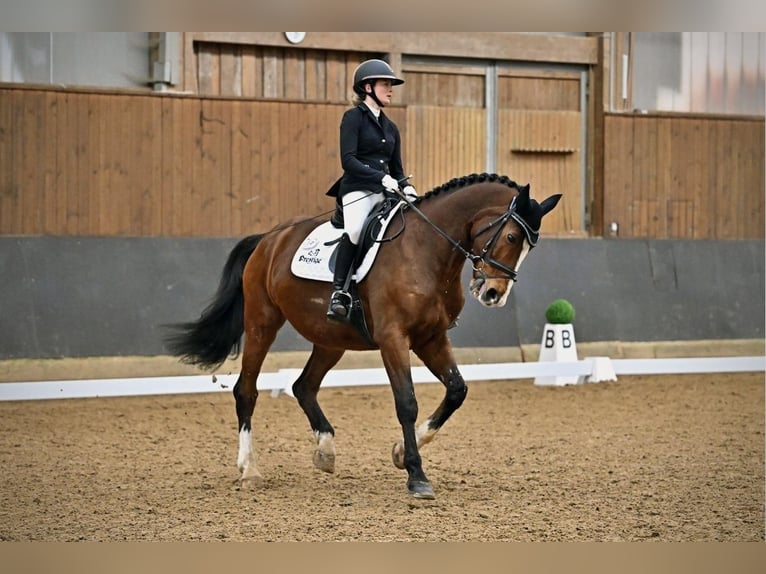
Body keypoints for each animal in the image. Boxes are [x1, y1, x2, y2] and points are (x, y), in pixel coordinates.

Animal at [165, 173, 560, 502]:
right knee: (246, 391)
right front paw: (416, 475)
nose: (494, 294)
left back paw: (325, 451)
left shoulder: (430, 338)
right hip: (262, 322)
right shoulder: (393, 338)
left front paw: (400, 453)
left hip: (331, 338)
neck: (428, 249)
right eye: (511, 236)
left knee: (303, 386)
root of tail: (269, 239)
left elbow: (456, 390)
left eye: (530, 247)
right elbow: (407, 402)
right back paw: (249, 470)